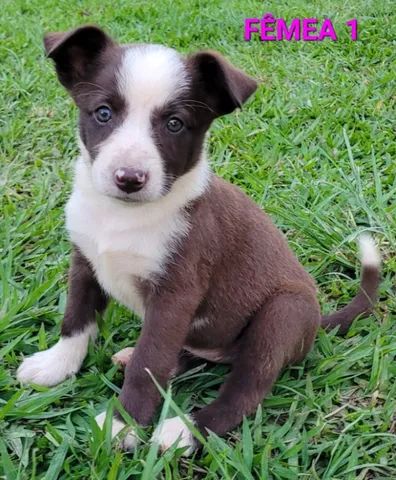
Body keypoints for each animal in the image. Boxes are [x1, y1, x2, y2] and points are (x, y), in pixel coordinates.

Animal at [17, 25, 382, 454]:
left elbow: (149, 362)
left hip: (283, 314)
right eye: (103, 113)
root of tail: (315, 325)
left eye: (175, 124)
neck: (124, 216)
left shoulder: (175, 294)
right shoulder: (85, 262)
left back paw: (184, 430)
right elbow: (76, 320)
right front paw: (56, 364)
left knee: (245, 389)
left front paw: (121, 424)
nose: (129, 178)